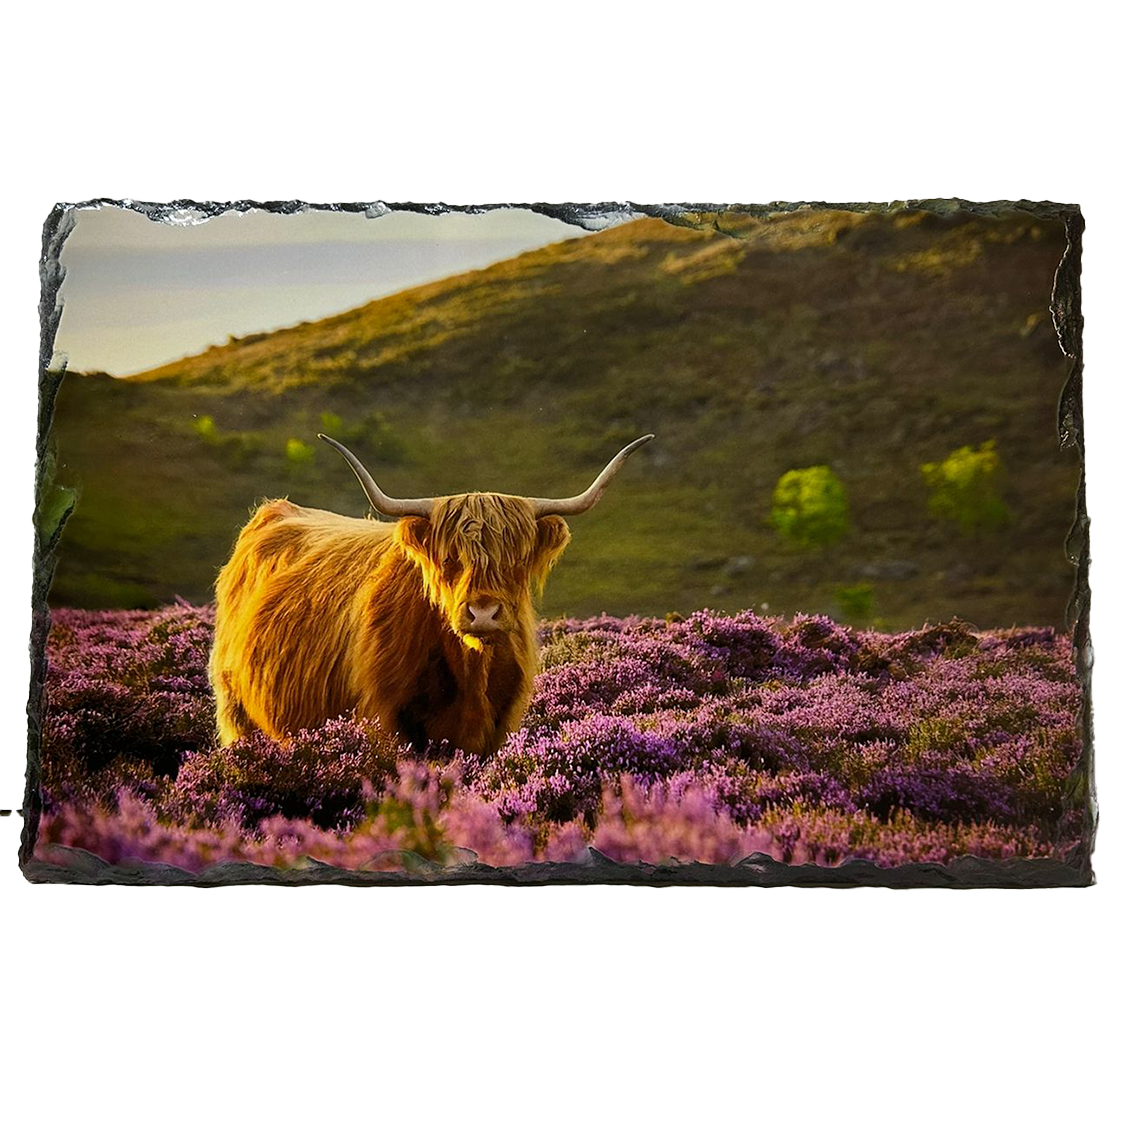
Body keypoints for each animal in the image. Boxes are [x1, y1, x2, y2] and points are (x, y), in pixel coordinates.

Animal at [208, 432, 654, 755]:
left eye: (516, 559)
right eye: (450, 557)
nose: (483, 613)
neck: (472, 671)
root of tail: (275, 509)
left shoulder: (498, 727)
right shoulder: (385, 721)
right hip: (236, 713)